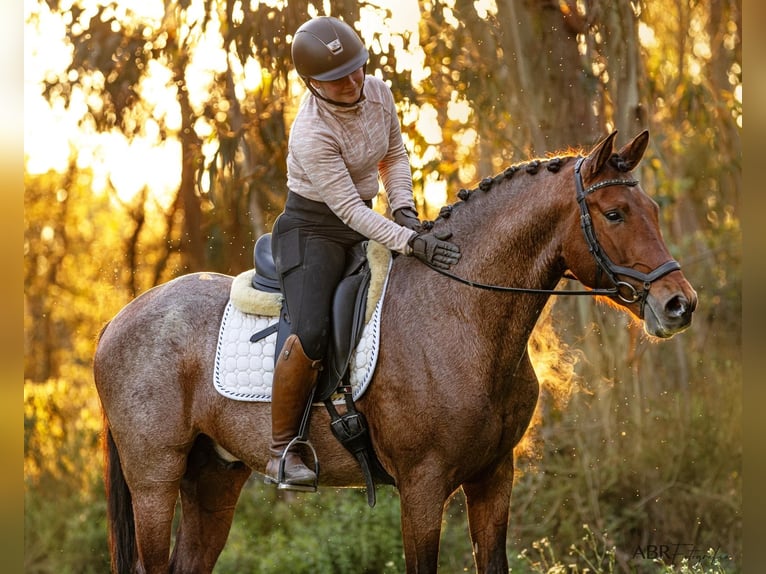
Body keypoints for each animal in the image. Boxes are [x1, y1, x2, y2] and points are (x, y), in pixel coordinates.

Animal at [94, 132, 696, 574]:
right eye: (614, 214)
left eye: (652, 207)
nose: (679, 304)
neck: (462, 314)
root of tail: (118, 320)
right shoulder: (422, 486)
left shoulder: (493, 477)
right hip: (155, 480)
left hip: (214, 478)